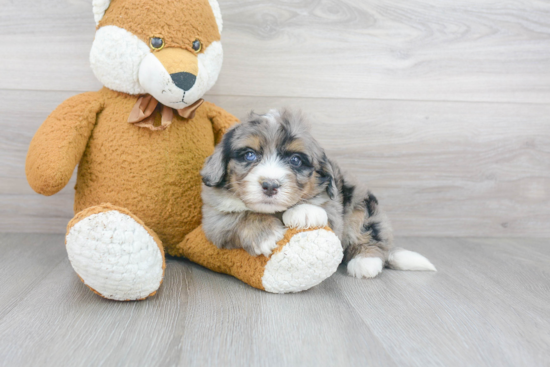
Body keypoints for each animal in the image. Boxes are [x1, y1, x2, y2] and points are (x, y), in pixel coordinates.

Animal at [201, 109, 438, 278]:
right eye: (249, 155)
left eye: (296, 160)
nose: (270, 185)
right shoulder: (214, 217)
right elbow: (240, 217)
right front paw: (265, 234)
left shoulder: (336, 210)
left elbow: (319, 206)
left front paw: (305, 212)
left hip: (362, 205)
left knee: (371, 234)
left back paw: (365, 262)